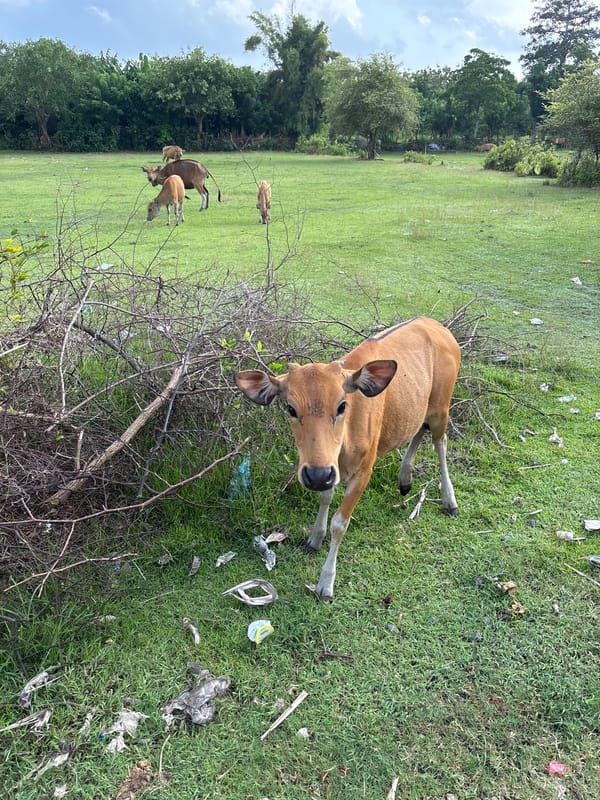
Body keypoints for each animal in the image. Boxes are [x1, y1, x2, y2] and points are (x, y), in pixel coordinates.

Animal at [234, 317, 460, 600]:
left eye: (342, 405)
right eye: (290, 408)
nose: (317, 475)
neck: (344, 445)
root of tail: (440, 328)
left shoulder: (364, 470)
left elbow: (340, 523)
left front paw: (325, 584)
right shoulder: (328, 469)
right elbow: (325, 497)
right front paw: (314, 539)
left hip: (442, 404)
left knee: (440, 442)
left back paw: (449, 501)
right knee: (419, 428)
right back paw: (405, 479)